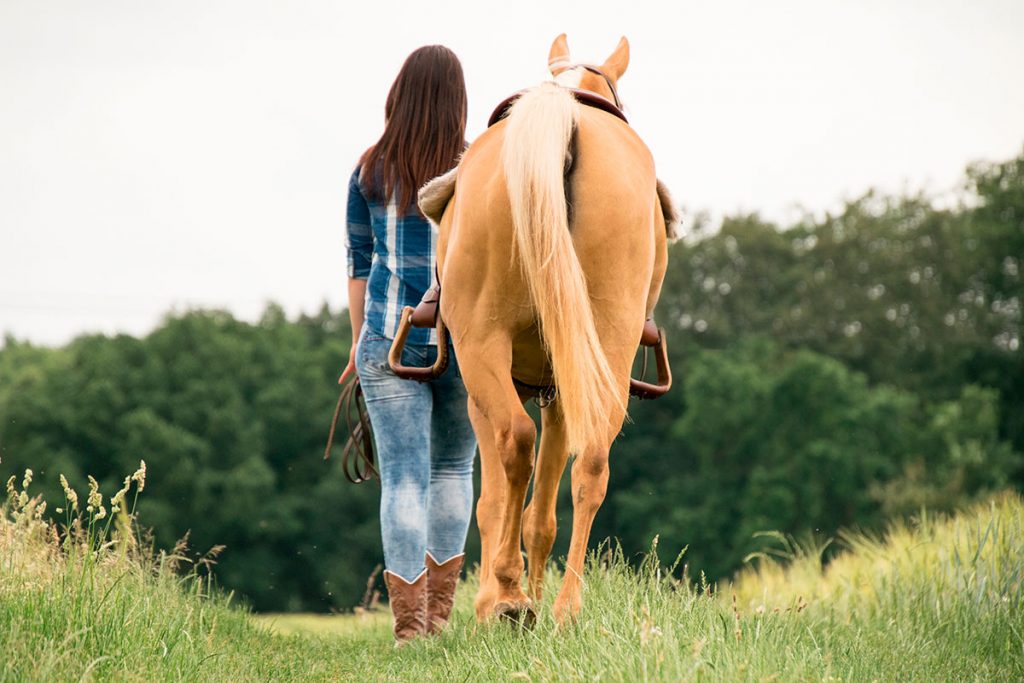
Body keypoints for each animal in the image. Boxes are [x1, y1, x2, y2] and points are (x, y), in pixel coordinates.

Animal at [411, 36, 675, 626]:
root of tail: (561, 116)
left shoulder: (480, 393)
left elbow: (493, 501)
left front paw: (497, 595)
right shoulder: (560, 389)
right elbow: (542, 514)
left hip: (485, 347)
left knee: (515, 441)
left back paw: (508, 597)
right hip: (604, 345)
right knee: (592, 459)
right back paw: (564, 608)